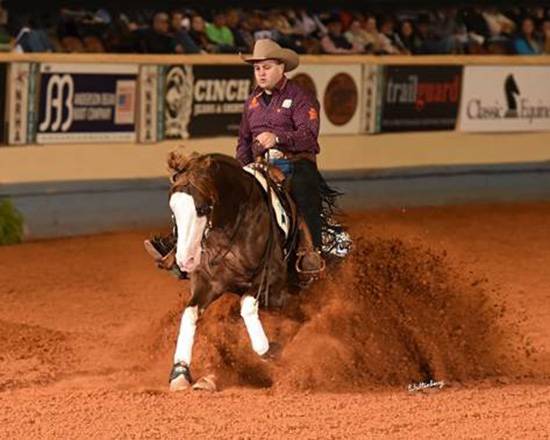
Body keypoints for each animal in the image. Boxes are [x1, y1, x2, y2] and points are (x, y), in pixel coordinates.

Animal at [165, 150, 292, 390]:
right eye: (173, 210)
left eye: (203, 208)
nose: (185, 260)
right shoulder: (209, 281)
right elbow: (190, 313)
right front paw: (180, 372)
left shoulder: (274, 279)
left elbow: (248, 306)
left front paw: (268, 349)